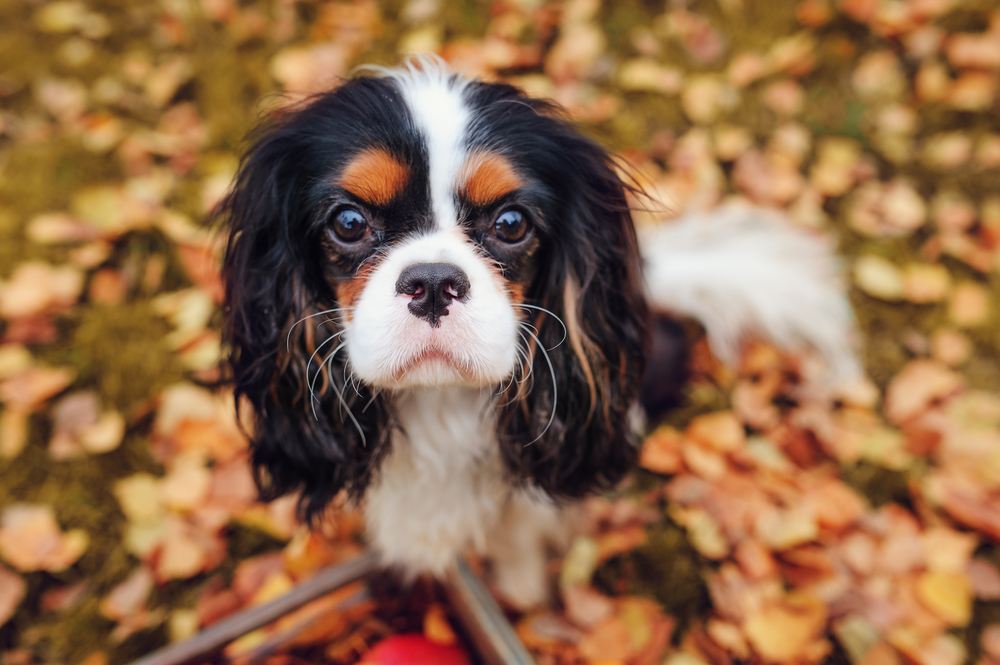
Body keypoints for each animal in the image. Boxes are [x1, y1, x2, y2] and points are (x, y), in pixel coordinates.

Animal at [221, 57, 860, 608]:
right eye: (349, 223)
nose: (432, 282)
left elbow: (523, 534)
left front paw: (522, 593)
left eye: (511, 223)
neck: (441, 405)